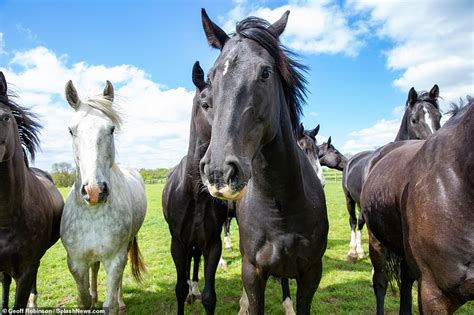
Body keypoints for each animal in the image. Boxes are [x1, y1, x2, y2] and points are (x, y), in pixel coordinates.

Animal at [60, 81, 146, 314]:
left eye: (111, 129)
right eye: (71, 130)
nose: (94, 191)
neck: (92, 214)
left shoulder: (115, 259)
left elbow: (111, 304)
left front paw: (114, 302)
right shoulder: (76, 262)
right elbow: (82, 300)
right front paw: (90, 299)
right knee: (95, 267)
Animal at [198, 10, 328, 315]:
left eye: (265, 73)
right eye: (211, 76)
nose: (219, 172)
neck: (281, 207)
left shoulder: (311, 273)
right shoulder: (253, 272)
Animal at [340, 85, 440, 262]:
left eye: (439, 116)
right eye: (414, 119)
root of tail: (350, 160)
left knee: (360, 222)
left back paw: (360, 250)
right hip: (349, 199)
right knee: (353, 221)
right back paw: (352, 252)